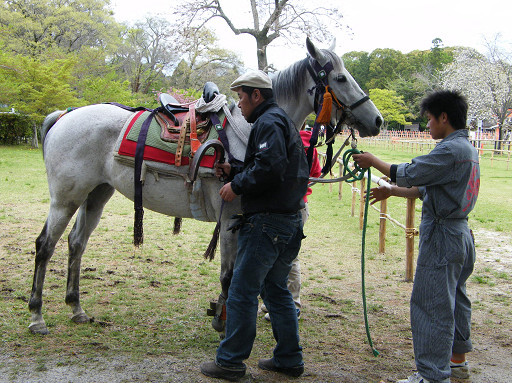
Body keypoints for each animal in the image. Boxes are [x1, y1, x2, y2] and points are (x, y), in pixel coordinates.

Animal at [27, 36, 380, 336]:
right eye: (340, 78)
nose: (376, 120)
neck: (248, 133)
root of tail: (65, 115)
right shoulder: (231, 219)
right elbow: (229, 275)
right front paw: (224, 323)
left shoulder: (242, 223)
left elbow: (236, 274)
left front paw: (223, 316)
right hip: (65, 199)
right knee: (45, 245)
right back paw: (36, 315)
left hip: (96, 194)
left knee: (76, 243)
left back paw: (76, 308)